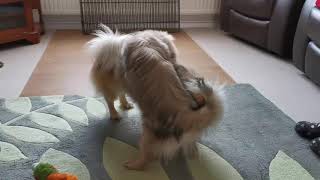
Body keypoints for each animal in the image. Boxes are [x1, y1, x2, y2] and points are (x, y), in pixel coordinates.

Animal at [86, 25, 224, 170]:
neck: (148, 42)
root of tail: (184, 117)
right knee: (114, 98)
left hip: (146, 133)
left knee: (144, 155)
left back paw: (132, 163)